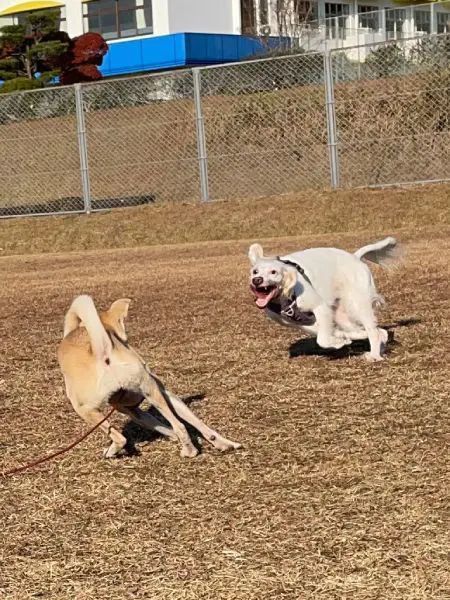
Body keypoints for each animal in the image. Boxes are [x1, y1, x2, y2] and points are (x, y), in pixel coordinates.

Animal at [58, 296, 243, 460]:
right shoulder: (151, 399)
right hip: (151, 390)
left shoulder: (123, 409)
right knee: (182, 424)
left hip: (83, 409)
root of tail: (102, 350)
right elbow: (168, 423)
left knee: (121, 438)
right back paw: (214, 445)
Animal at [248, 239, 400, 360]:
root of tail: (355, 257)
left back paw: (374, 355)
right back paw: (377, 346)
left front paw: (339, 341)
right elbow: (325, 333)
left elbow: (322, 339)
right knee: (379, 332)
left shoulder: (320, 307)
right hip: (341, 316)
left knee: (373, 331)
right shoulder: (299, 322)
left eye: (273, 272)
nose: (257, 280)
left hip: (358, 306)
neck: (284, 297)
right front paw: (342, 338)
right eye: (255, 271)